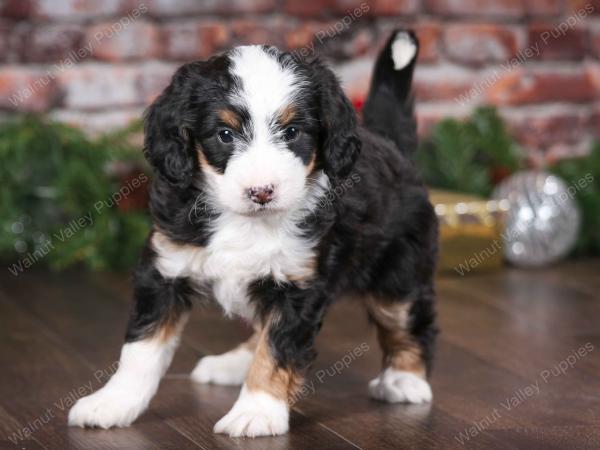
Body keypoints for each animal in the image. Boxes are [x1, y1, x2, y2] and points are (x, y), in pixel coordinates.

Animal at [68, 29, 438, 438]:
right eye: (225, 135)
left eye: (292, 132)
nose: (261, 191)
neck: (245, 220)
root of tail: (390, 145)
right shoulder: (166, 270)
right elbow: (141, 349)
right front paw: (113, 402)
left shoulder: (297, 287)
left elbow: (275, 351)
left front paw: (257, 411)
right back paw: (233, 363)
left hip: (398, 276)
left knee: (408, 323)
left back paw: (405, 380)